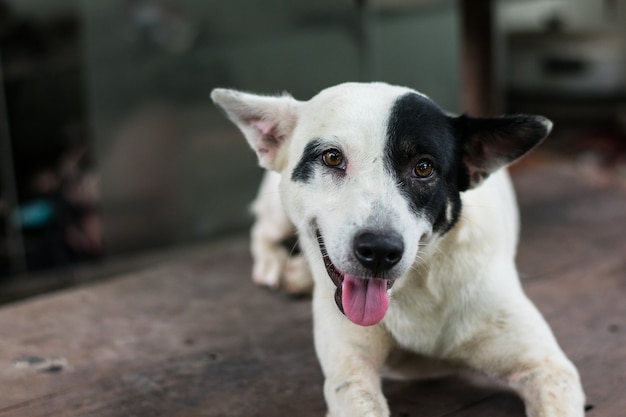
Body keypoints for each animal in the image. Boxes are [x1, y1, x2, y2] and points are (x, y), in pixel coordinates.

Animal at [211, 82, 584, 416]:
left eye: (424, 167)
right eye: (331, 157)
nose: (379, 251)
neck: (416, 286)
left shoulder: (549, 368)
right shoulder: (351, 375)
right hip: (274, 210)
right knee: (262, 229)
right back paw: (274, 266)